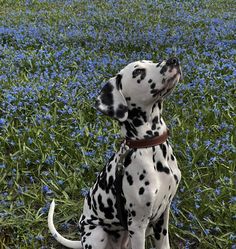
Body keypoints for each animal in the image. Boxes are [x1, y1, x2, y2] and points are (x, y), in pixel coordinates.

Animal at [48, 57, 183, 249]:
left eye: (151, 61)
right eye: (138, 72)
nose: (173, 60)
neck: (149, 146)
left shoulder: (163, 214)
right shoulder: (137, 224)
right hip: (97, 234)